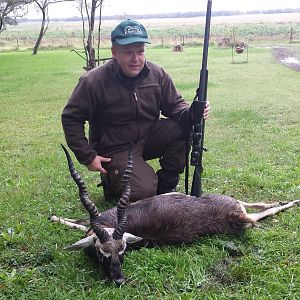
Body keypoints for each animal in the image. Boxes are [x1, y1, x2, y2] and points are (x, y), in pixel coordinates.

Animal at [50, 145, 298, 286]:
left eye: (123, 250)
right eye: (102, 253)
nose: (118, 280)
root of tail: (231, 215)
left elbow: (80, 223)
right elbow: (78, 222)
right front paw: (54, 218)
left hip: (230, 203)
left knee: (257, 208)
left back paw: (288, 201)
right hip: (237, 209)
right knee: (257, 212)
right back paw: (285, 202)